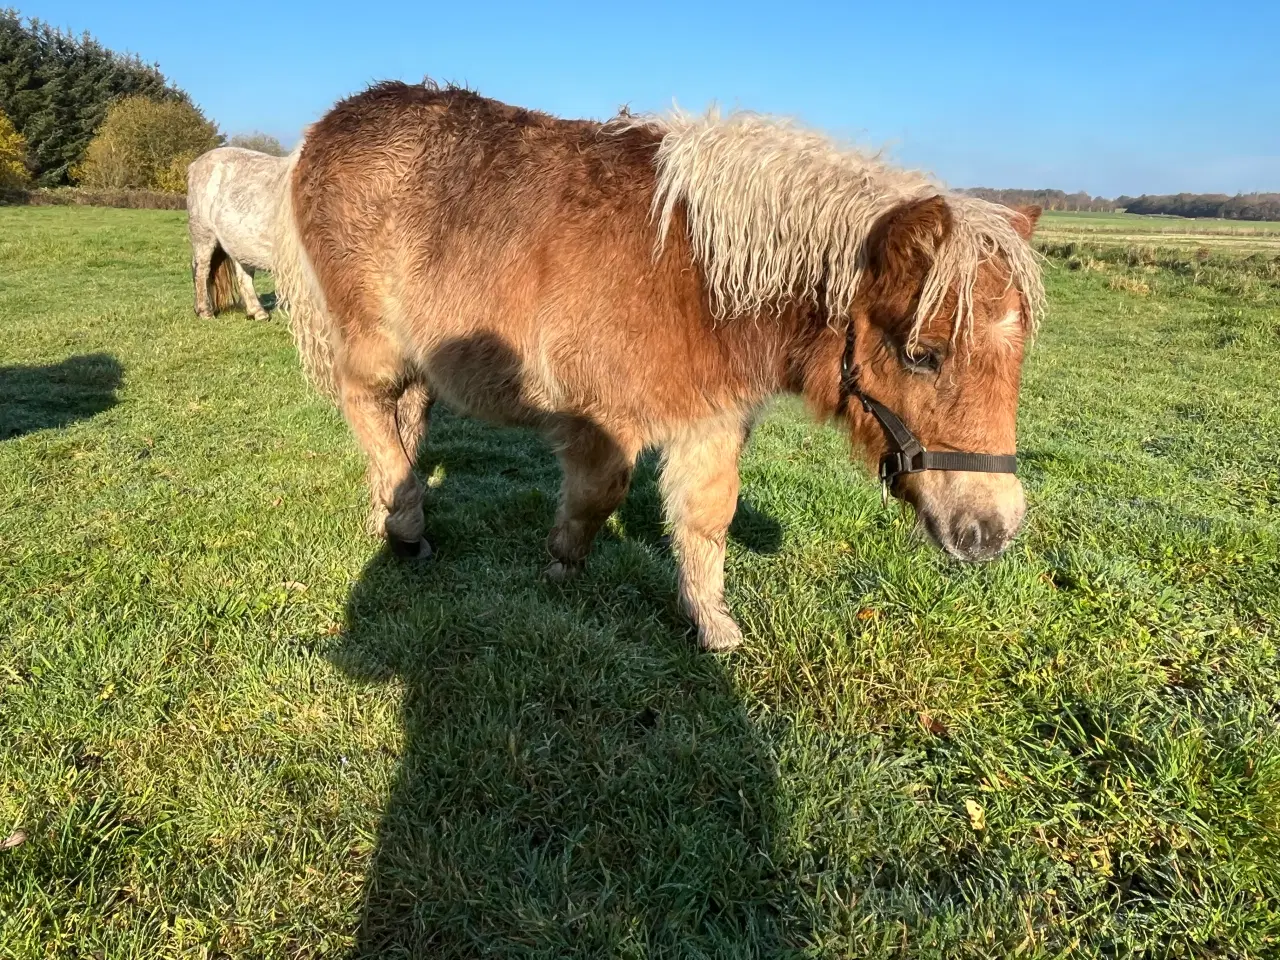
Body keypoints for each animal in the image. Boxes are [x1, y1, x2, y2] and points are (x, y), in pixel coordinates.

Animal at [270, 82, 1039, 655]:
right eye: (922, 354)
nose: (992, 530)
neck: (692, 273)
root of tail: (325, 127)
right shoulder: (599, 420)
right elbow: (596, 497)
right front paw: (560, 568)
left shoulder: (714, 421)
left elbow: (706, 517)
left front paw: (711, 624)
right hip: (372, 343)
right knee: (366, 404)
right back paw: (402, 523)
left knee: (406, 420)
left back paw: (392, 515)